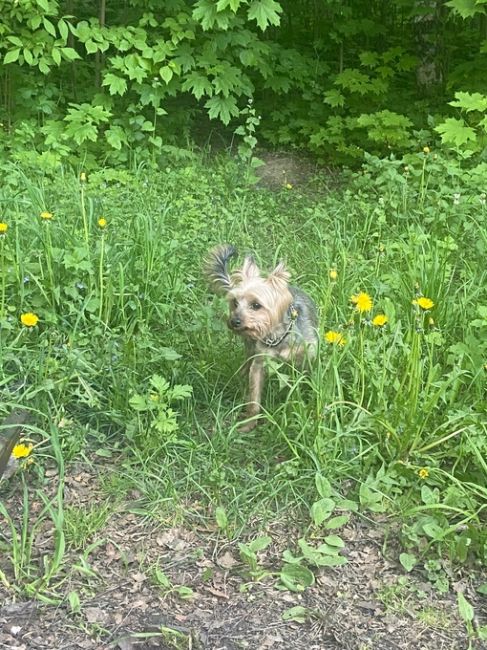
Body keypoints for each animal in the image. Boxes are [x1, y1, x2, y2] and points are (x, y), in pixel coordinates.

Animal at [206, 243, 320, 430]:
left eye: (256, 305)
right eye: (234, 303)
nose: (234, 321)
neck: (276, 336)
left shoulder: (308, 353)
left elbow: (305, 375)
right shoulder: (259, 362)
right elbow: (254, 398)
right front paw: (249, 424)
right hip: (250, 348)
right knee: (247, 364)